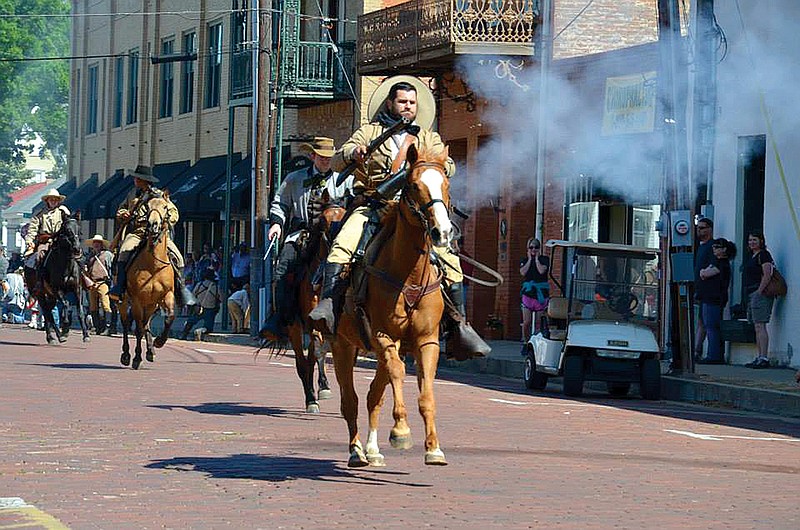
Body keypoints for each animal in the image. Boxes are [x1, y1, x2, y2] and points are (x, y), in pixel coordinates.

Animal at [25, 213, 91, 342]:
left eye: (79, 230)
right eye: (67, 230)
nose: (77, 249)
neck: (66, 265)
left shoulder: (77, 289)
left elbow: (80, 311)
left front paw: (85, 335)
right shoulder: (57, 289)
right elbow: (66, 304)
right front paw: (65, 327)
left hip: (51, 297)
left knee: (48, 313)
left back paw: (53, 336)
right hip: (41, 294)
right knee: (47, 313)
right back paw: (55, 336)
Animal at [119, 194, 177, 368]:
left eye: (165, 207)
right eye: (148, 206)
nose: (153, 225)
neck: (154, 265)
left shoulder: (166, 295)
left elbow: (170, 317)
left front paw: (159, 342)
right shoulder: (137, 299)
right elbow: (137, 329)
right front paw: (136, 358)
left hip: (151, 304)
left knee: (146, 324)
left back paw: (151, 351)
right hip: (124, 301)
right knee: (126, 323)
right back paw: (126, 355)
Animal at [328, 143, 454, 466]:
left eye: (446, 184)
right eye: (414, 185)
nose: (442, 233)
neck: (409, 273)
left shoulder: (427, 341)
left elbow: (426, 394)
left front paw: (434, 448)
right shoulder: (384, 335)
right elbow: (397, 374)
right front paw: (400, 431)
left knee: (374, 395)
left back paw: (371, 450)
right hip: (342, 345)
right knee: (350, 401)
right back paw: (357, 450)